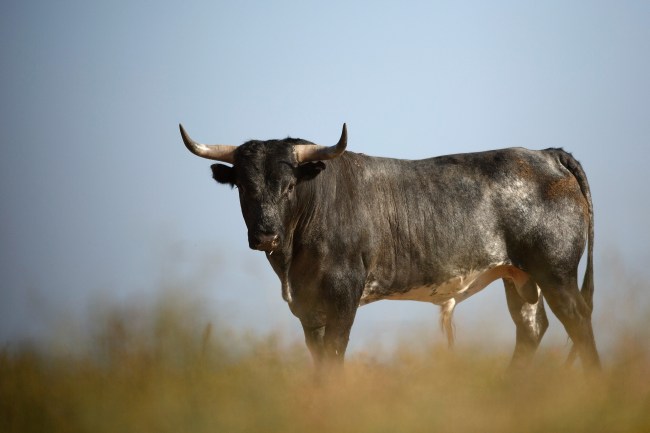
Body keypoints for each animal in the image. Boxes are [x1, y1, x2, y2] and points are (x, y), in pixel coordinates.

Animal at [180, 122, 600, 372]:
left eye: (288, 186)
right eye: (242, 186)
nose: (266, 236)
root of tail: (545, 153)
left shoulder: (343, 296)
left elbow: (334, 356)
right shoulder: (307, 307)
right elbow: (319, 360)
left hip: (556, 271)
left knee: (578, 320)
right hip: (519, 275)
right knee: (532, 326)